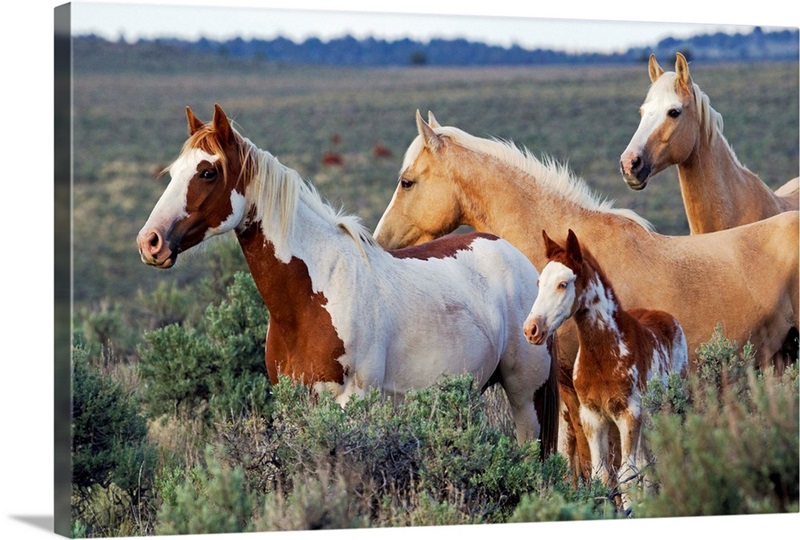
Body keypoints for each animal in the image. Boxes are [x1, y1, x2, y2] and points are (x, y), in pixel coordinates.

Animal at [524, 227, 688, 510]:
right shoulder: (593, 417)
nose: (532, 329)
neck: (604, 357)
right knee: (647, 464)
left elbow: (626, 474)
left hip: (670, 408)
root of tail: (667, 317)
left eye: (563, 284)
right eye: (539, 283)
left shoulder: (629, 414)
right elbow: (602, 474)